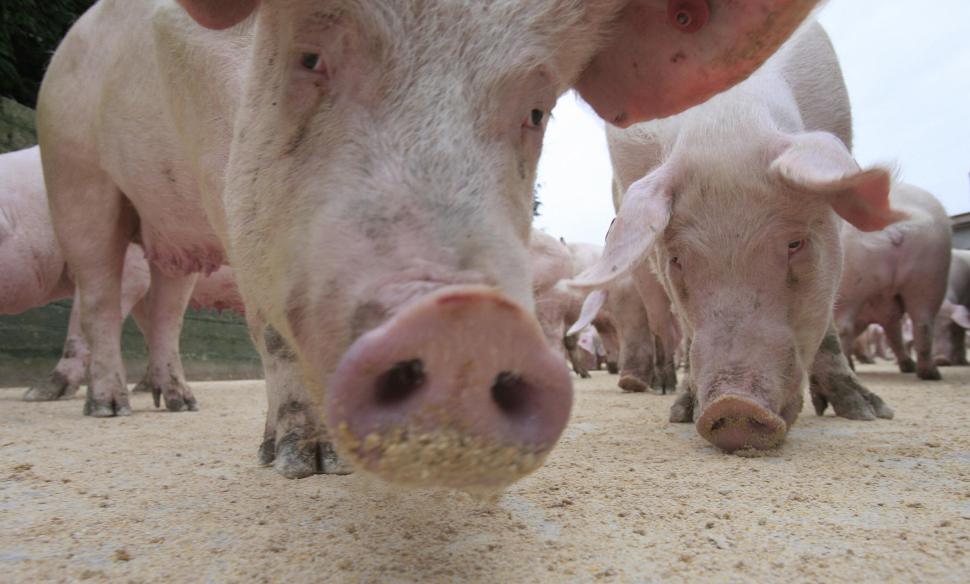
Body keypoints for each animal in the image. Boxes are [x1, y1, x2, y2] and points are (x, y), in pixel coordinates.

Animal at [36, 0, 816, 488]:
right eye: (309, 58)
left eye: (538, 110)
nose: (462, 317)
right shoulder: (219, 148)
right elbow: (268, 307)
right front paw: (305, 464)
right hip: (72, 166)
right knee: (100, 289)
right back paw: (109, 408)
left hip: (162, 236)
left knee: (165, 304)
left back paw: (179, 403)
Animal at [568, 21, 892, 452]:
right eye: (678, 259)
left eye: (795, 243)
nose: (734, 406)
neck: (727, 118)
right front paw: (682, 414)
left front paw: (869, 413)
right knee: (659, 320)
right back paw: (657, 387)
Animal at [832, 185, 952, 380]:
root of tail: (893, 226)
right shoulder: (888, 312)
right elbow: (894, 334)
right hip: (931, 276)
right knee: (924, 323)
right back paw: (929, 373)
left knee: (844, 328)